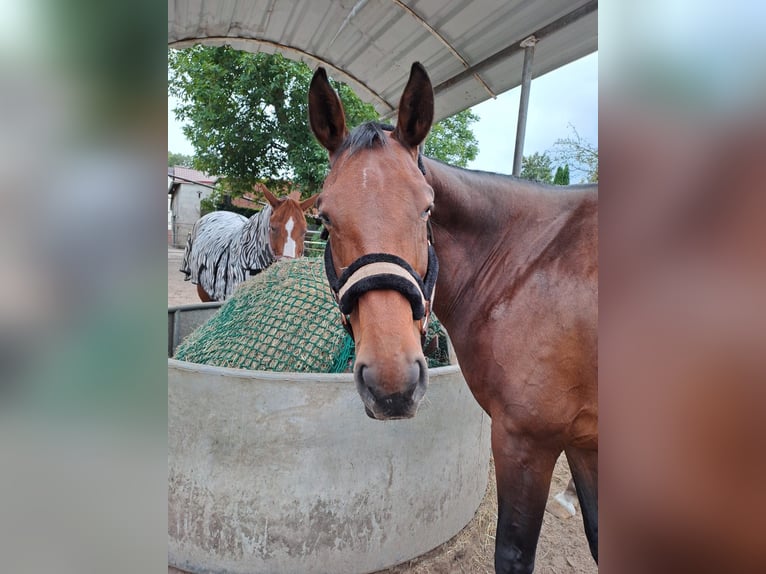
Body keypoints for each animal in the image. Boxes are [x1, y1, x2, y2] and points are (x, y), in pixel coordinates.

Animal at [308, 63, 597, 573]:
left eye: (427, 208)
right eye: (324, 219)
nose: (392, 386)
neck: (529, 267)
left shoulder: (527, 440)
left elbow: (513, 553)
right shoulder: (583, 443)